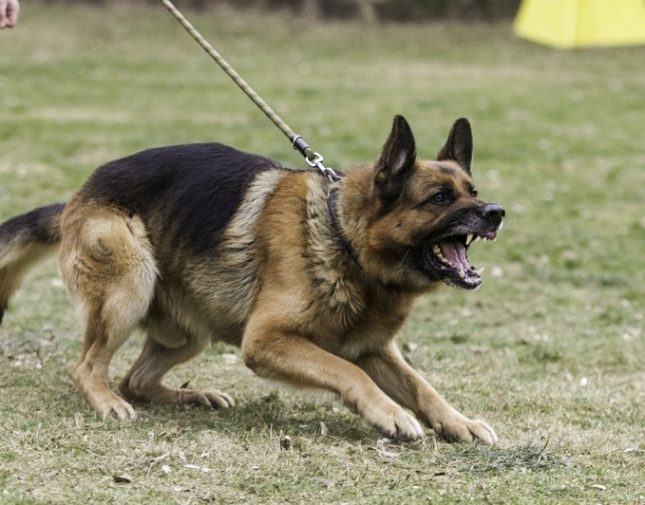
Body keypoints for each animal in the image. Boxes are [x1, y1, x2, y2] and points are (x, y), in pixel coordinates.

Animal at [0, 116, 504, 442]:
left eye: (472, 192)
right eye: (439, 198)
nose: (497, 213)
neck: (343, 238)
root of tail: (76, 195)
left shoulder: (374, 348)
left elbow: (422, 386)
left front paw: (458, 422)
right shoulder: (266, 341)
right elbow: (348, 372)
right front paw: (390, 415)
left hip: (189, 330)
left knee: (136, 380)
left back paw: (193, 396)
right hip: (131, 286)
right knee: (87, 368)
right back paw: (106, 402)